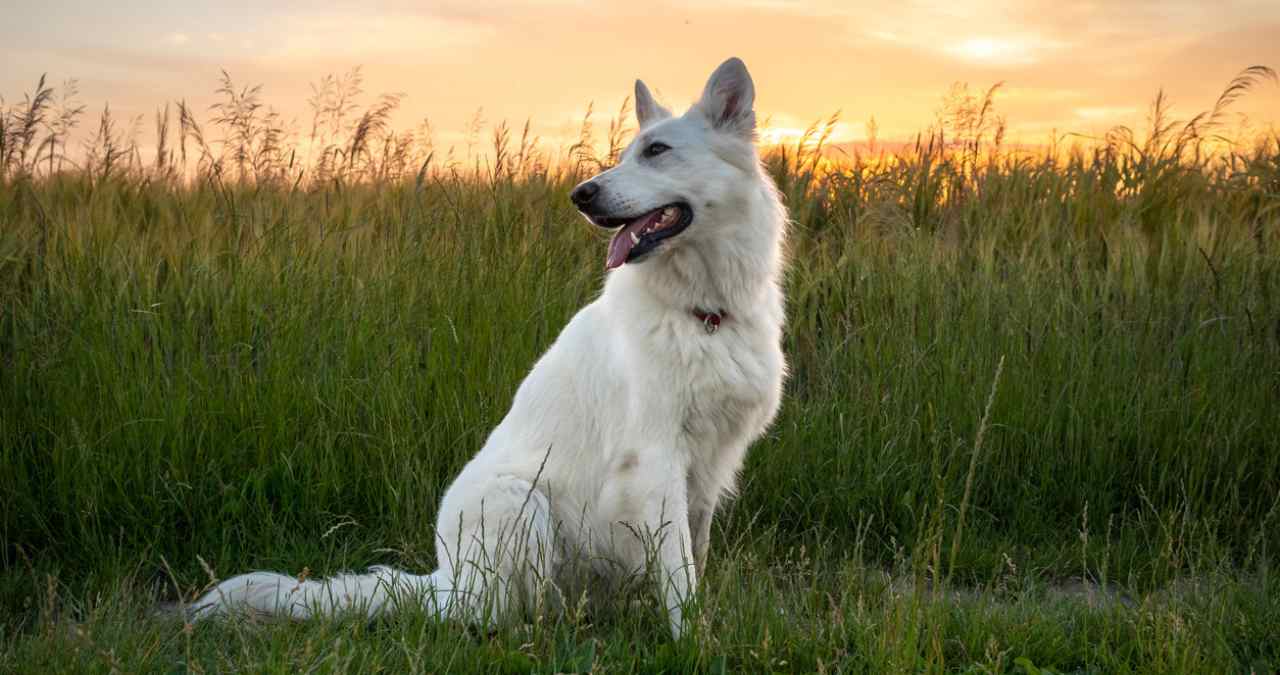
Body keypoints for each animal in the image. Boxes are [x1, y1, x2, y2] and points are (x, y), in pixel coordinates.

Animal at [193, 58, 783, 640]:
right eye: (627, 155)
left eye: (657, 151)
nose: (580, 195)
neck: (703, 314)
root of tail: (443, 581)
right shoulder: (657, 461)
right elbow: (680, 571)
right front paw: (695, 641)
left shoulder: (707, 467)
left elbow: (694, 554)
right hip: (521, 500)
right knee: (492, 615)